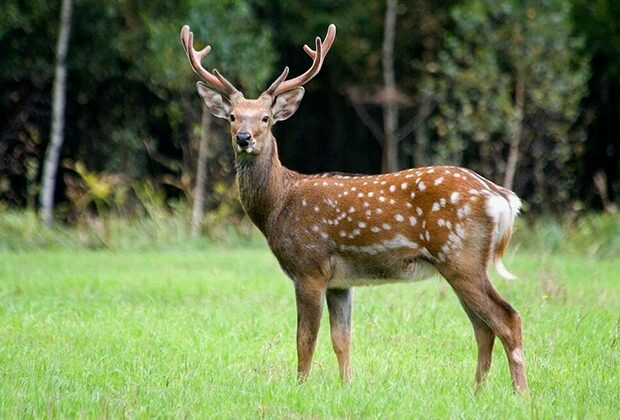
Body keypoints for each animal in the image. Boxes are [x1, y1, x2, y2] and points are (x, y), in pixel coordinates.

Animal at [178, 22, 528, 390]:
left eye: (266, 118)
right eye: (232, 117)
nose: (243, 138)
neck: (278, 205)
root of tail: (501, 197)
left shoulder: (310, 267)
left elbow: (305, 340)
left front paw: (301, 387)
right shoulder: (340, 281)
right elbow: (341, 339)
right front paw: (347, 386)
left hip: (460, 255)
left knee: (507, 318)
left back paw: (519, 392)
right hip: (461, 263)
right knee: (482, 327)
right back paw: (478, 390)